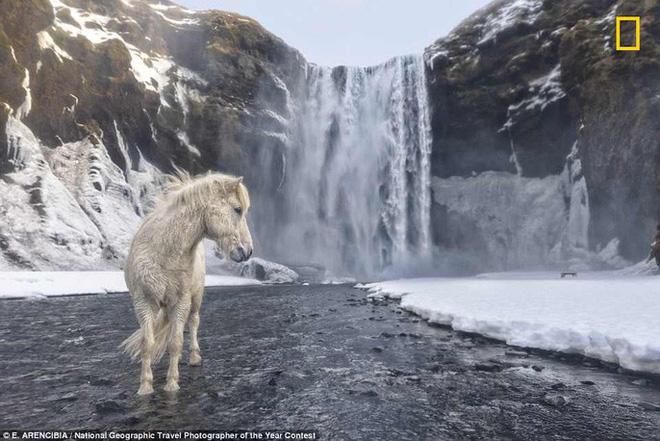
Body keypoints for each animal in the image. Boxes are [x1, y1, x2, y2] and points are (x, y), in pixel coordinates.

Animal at [120, 170, 254, 394]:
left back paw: (193, 357)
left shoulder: (181, 302)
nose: (248, 251)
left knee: (193, 323)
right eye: (238, 209)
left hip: (195, 299)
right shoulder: (143, 303)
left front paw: (172, 384)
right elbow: (147, 343)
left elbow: (175, 342)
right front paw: (145, 386)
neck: (164, 252)